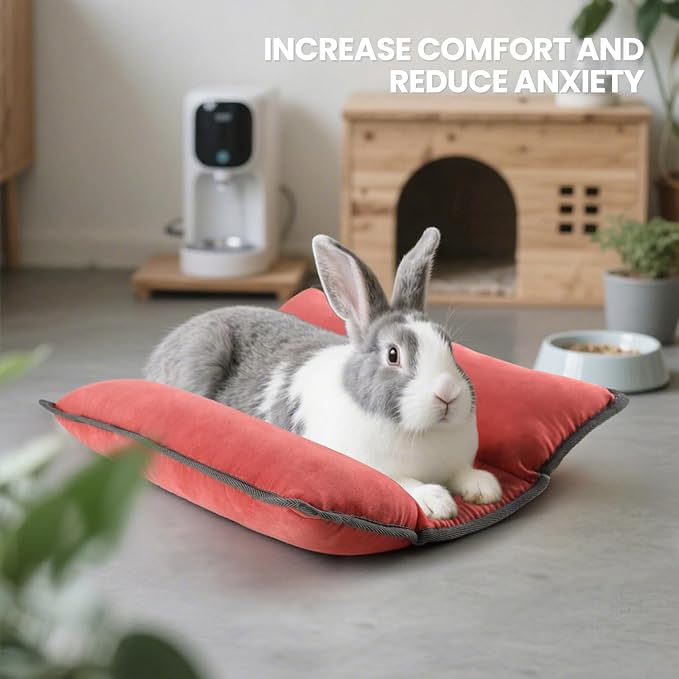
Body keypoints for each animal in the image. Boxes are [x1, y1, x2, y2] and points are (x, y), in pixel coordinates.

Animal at [144, 227, 501, 519]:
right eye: (393, 354)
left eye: (449, 345)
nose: (448, 394)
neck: (423, 432)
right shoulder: (373, 468)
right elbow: (403, 483)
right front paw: (437, 502)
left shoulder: (454, 463)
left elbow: (462, 472)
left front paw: (485, 488)